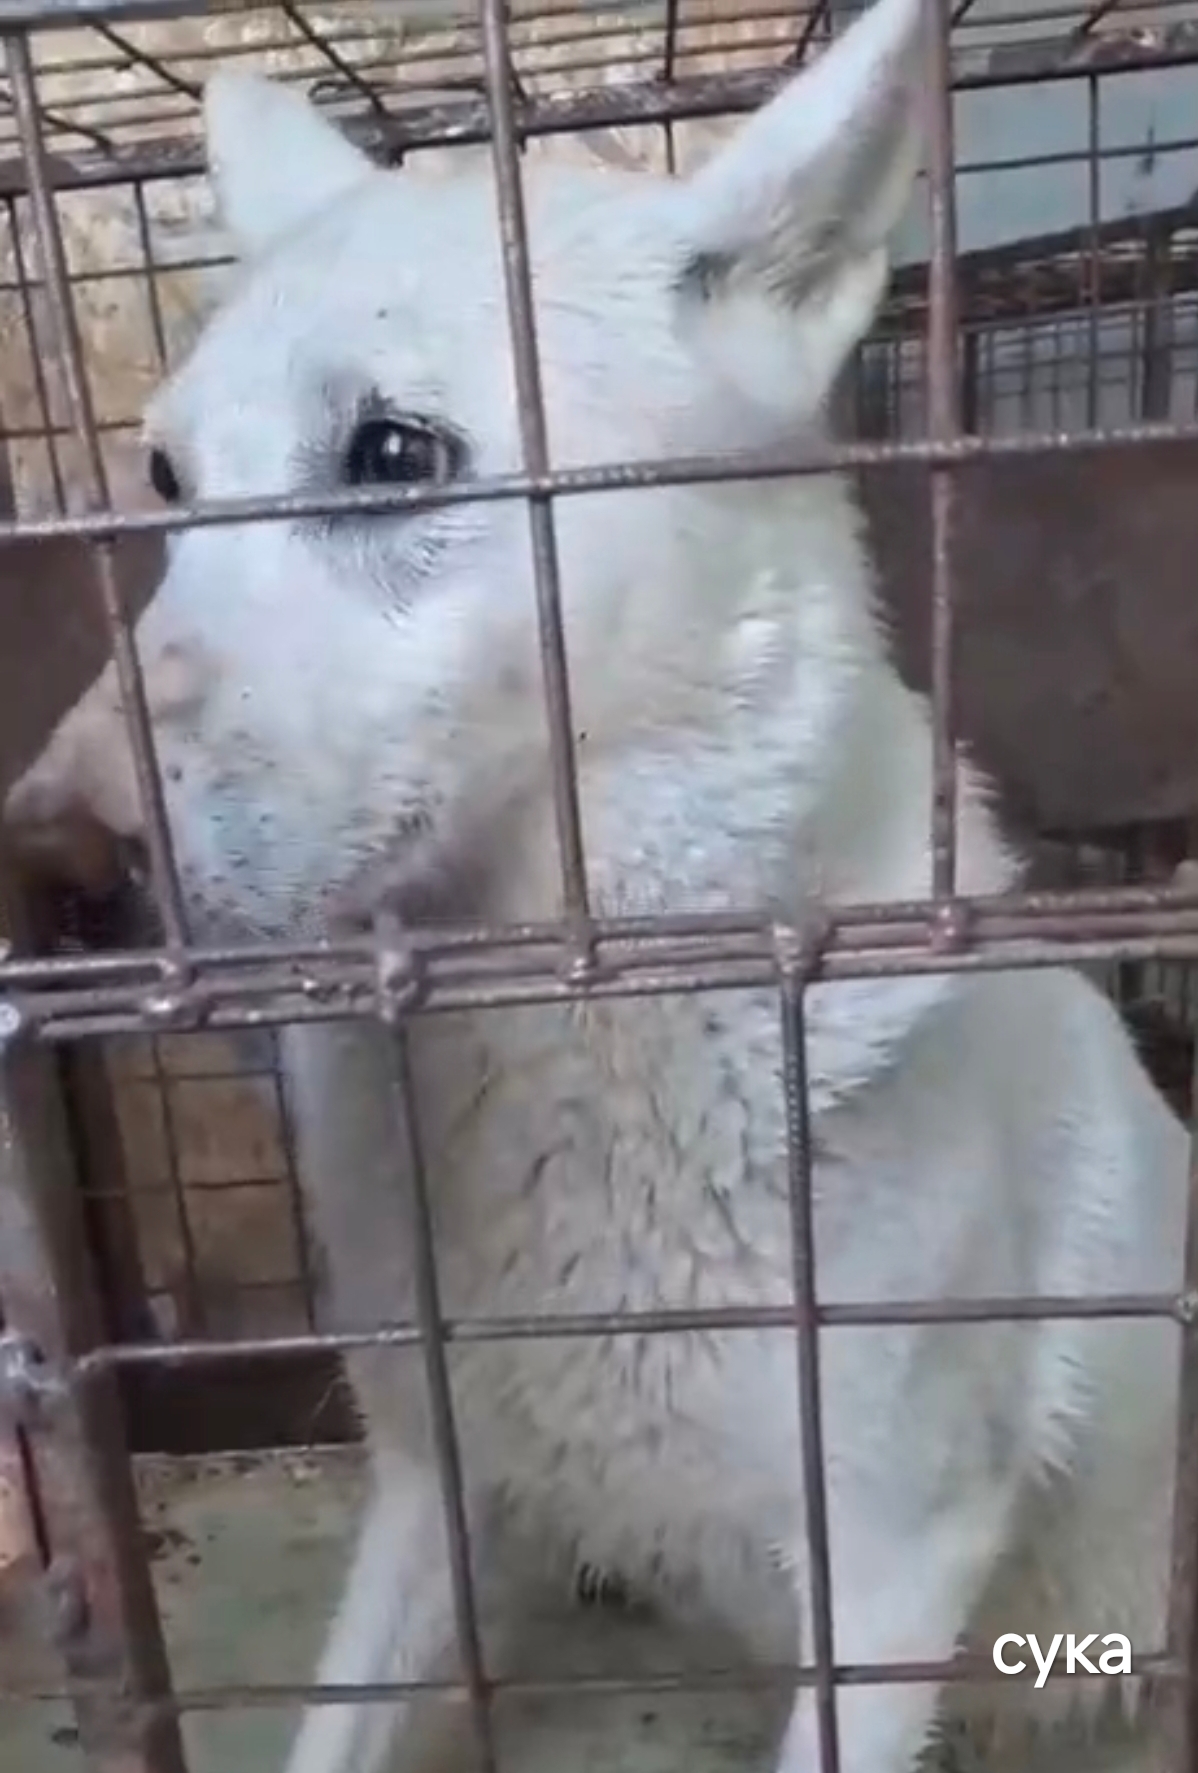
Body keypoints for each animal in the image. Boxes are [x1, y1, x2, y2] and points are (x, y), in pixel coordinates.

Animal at [5, 0, 1188, 1767]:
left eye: (394, 451)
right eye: (163, 481)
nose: (44, 865)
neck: (570, 1025)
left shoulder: (890, 1571)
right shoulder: (431, 1487)